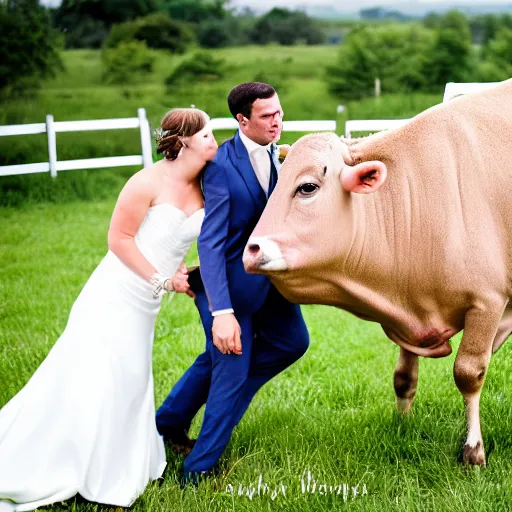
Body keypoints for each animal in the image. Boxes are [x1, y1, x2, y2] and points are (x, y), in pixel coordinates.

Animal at [242, 78, 512, 466]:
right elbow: (403, 377)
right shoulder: (409, 311)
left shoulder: (487, 303)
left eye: (307, 187)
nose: (251, 250)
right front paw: (403, 425)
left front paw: (473, 450)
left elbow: (468, 373)